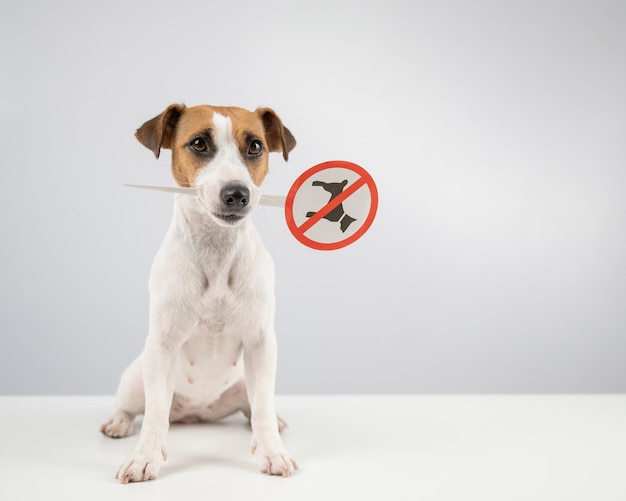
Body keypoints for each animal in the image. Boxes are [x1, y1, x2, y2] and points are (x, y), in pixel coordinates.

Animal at [99, 103, 298, 482]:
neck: (216, 249)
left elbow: (263, 408)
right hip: (136, 377)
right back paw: (118, 422)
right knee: (133, 406)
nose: (237, 193)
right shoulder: (162, 344)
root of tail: (198, 412)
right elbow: (155, 412)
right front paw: (144, 457)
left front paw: (272, 451)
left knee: (254, 407)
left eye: (255, 147)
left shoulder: (261, 343)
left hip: (243, 384)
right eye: (199, 144)